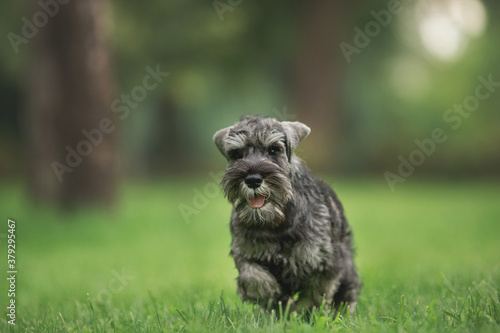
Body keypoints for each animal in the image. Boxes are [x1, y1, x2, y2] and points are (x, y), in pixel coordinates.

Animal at [213, 115, 362, 312]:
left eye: (274, 149)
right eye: (236, 154)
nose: (252, 179)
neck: (276, 221)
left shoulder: (323, 261)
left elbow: (315, 295)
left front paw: (305, 313)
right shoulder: (245, 253)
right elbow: (253, 276)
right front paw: (273, 297)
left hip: (346, 265)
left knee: (347, 293)